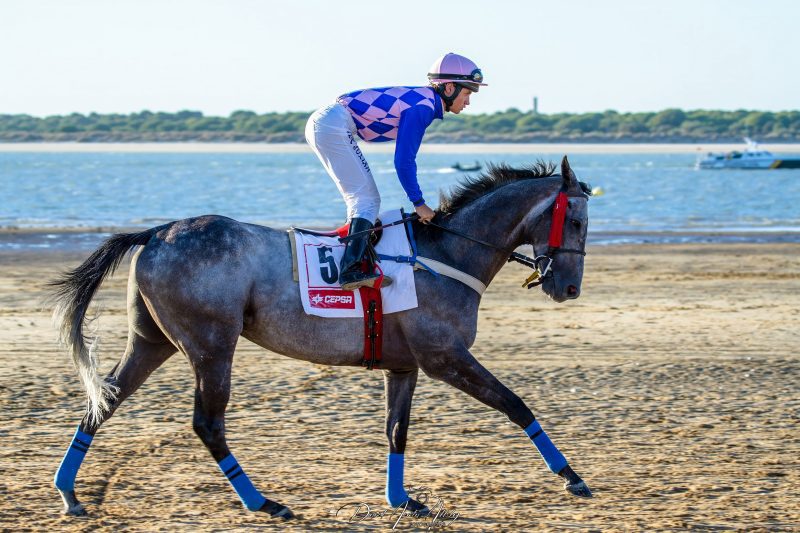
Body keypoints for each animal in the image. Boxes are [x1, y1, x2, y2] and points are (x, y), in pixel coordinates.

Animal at [50, 156, 592, 519]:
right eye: (578, 221)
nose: (568, 288)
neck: (445, 254)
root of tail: (156, 232)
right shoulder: (445, 357)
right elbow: (515, 404)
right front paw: (572, 477)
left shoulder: (405, 365)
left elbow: (396, 431)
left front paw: (402, 499)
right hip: (211, 345)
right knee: (207, 424)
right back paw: (263, 502)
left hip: (153, 341)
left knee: (105, 400)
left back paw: (69, 492)